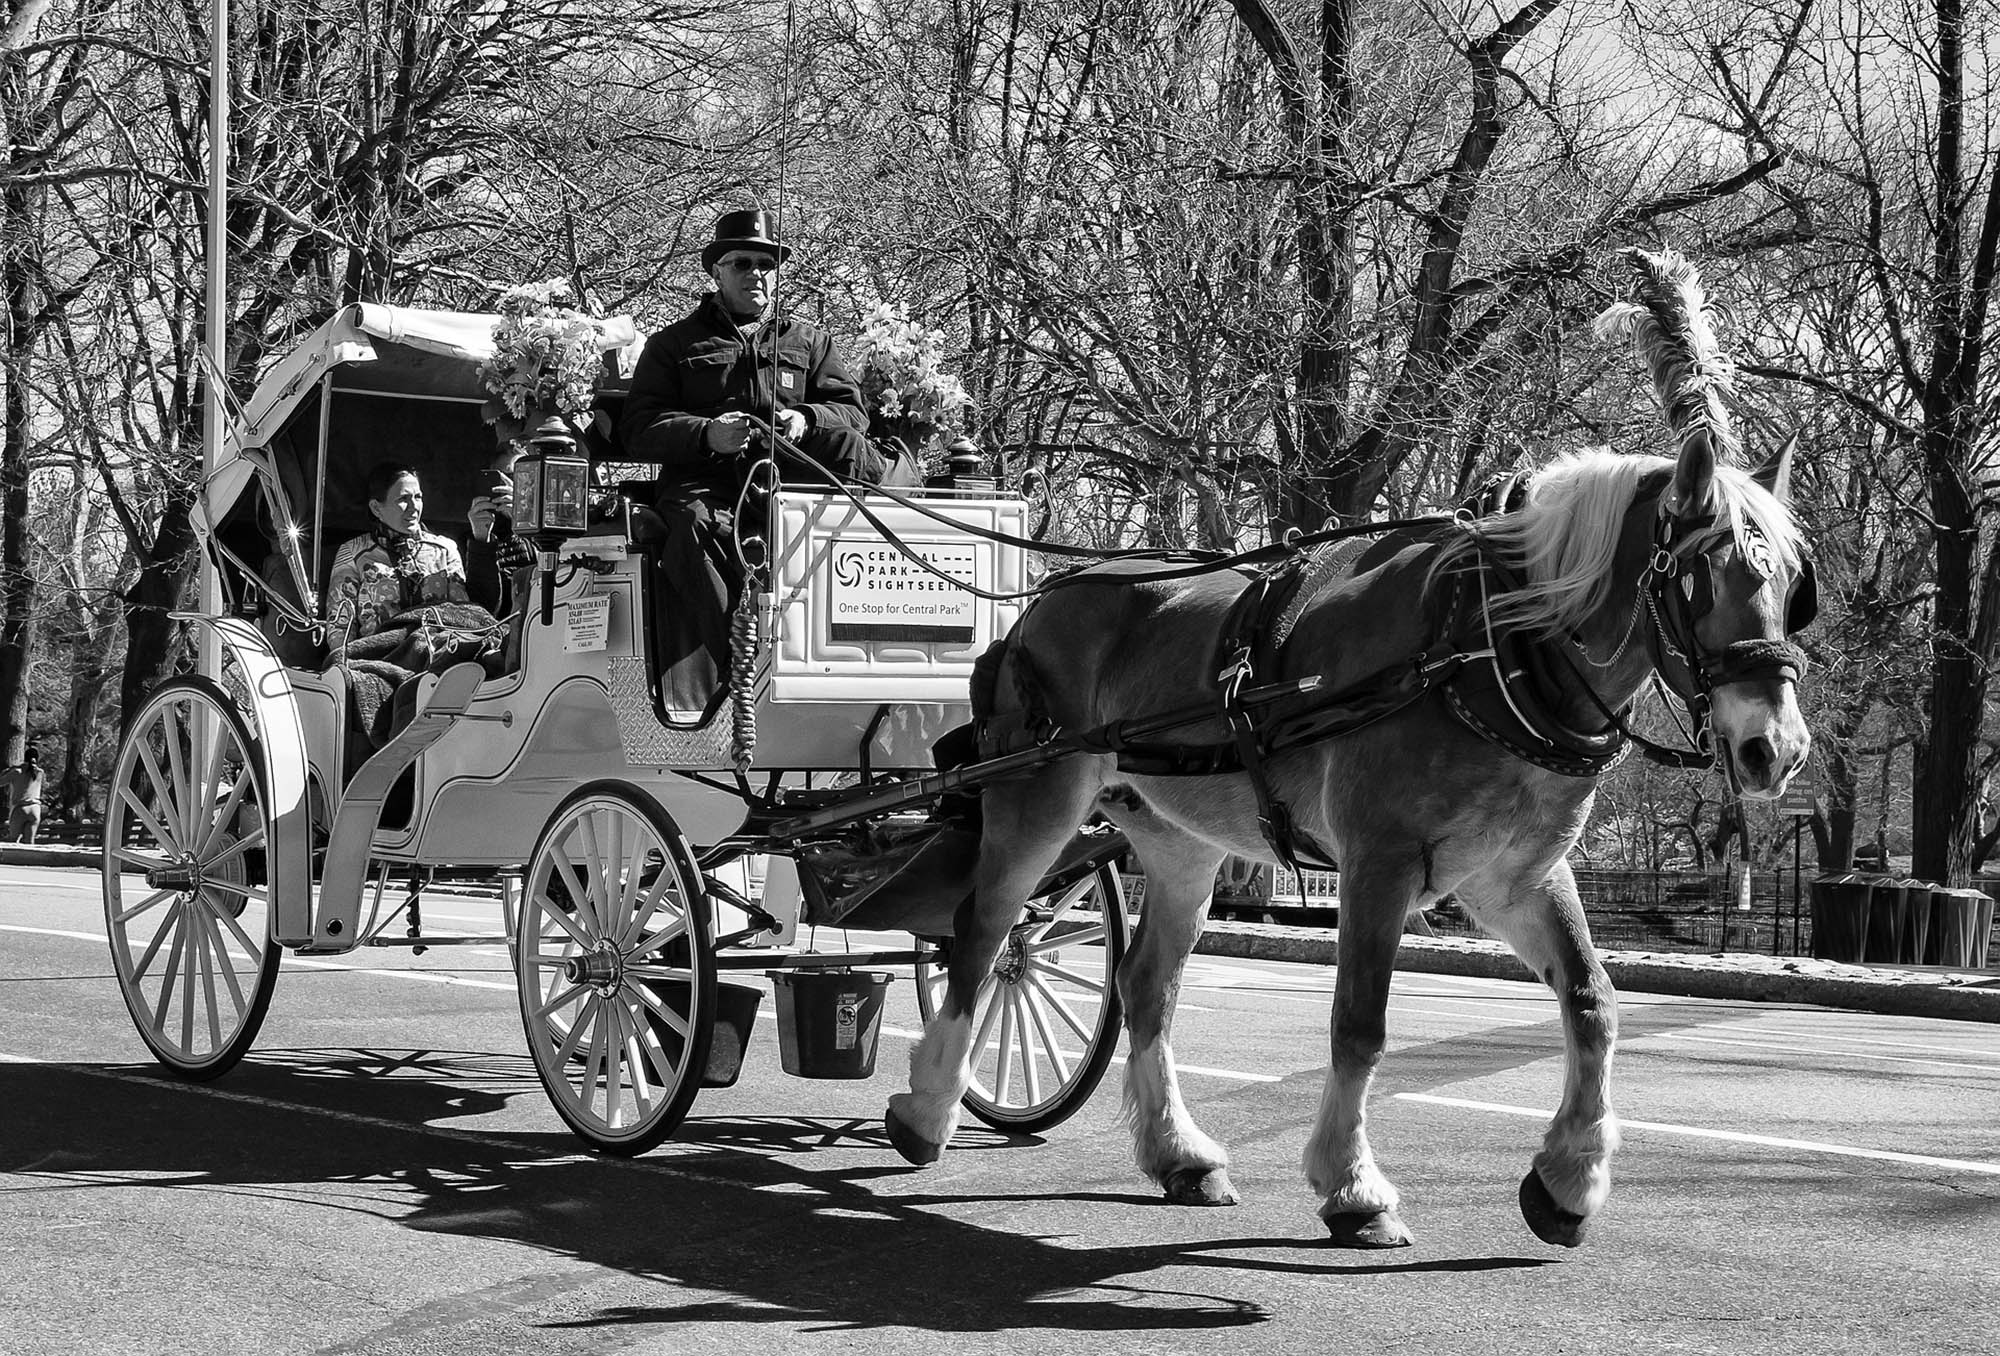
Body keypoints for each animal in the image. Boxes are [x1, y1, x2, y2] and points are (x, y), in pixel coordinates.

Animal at [884, 247, 1824, 1256]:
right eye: (1701, 578)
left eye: (1791, 585)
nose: (1777, 749)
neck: (1486, 647)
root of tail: (1049, 596)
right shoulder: (1380, 861)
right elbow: (1360, 1024)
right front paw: (1353, 1187)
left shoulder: (1517, 875)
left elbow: (1592, 1002)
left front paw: (1569, 1181)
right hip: (1037, 799)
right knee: (982, 938)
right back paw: (927, 1110)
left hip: (1179, 842)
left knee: (1146, 988)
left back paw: (1179, 1153)